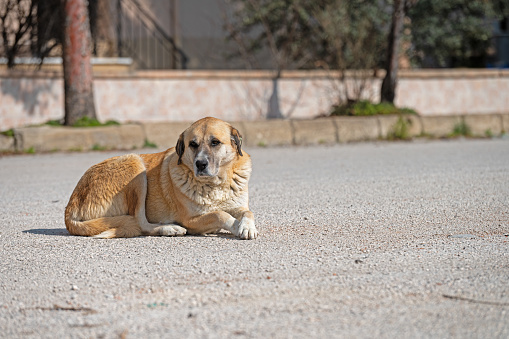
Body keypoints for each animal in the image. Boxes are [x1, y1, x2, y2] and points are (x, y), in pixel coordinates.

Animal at [64, 118, 258, 240]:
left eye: (215, 142)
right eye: (193, 144)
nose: (200, 164)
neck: (216, 185)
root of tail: (71, 206)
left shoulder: (239, 206)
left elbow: (248, 212)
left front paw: (247, 226)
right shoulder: (191, 220)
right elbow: (219, 214)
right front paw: (235, 225)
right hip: (135, 164)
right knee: (140, 223)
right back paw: (169, 228)